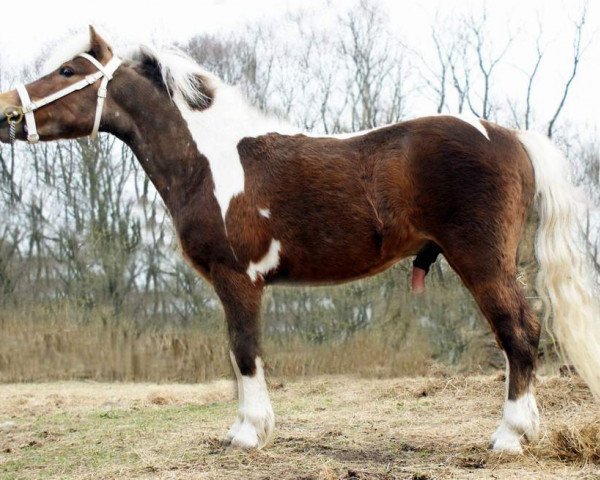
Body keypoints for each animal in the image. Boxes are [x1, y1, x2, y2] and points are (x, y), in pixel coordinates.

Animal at [1, 27, 600, 454]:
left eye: (68, 69)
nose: (7, 110)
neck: (209, 161)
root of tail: (509, 136)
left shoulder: (237, 279)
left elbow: (244, 349)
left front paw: (248, 433)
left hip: (482, 261)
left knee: (519, 332)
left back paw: (510, 437)